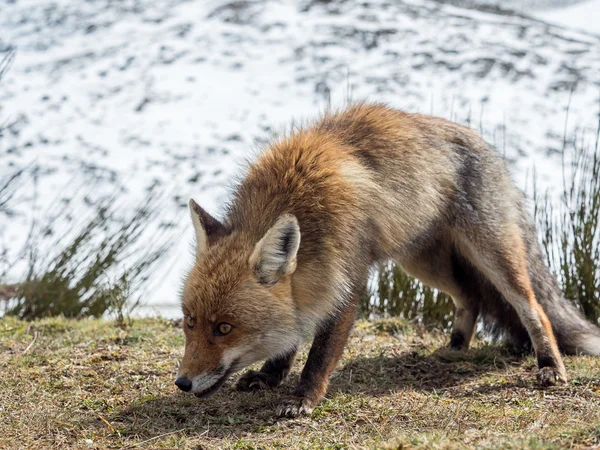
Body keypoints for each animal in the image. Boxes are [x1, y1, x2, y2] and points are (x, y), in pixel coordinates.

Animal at [176, 103, 600, 418]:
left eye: (224, 328)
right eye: (190, 322)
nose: (182, 383)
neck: (293, 199)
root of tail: (487, 145)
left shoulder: (346, 279)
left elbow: (319, 355)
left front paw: (302, 398)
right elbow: (292, 334)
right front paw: (270, 375)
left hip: (493, 255)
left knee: (533, 307)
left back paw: (549, 366)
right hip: (422, 263)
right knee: (470, 296)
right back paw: (455, 347)